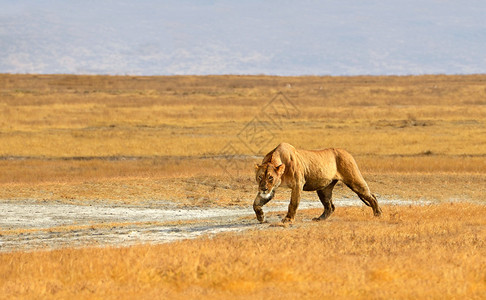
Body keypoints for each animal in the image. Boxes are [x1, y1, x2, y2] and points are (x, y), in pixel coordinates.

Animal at [252, 142, 382, 223]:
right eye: (260, 177)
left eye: (270, 178)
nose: (263, 189)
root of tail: (346, 152)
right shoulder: (272, 190)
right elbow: (256, 203)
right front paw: (261, 217)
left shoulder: (297, 184)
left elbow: (293, 203)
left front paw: (288, 219)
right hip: (324, 189)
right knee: (330, 206)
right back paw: (320, 219)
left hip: (354, 180)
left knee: (372, 196)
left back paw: (378, 213)